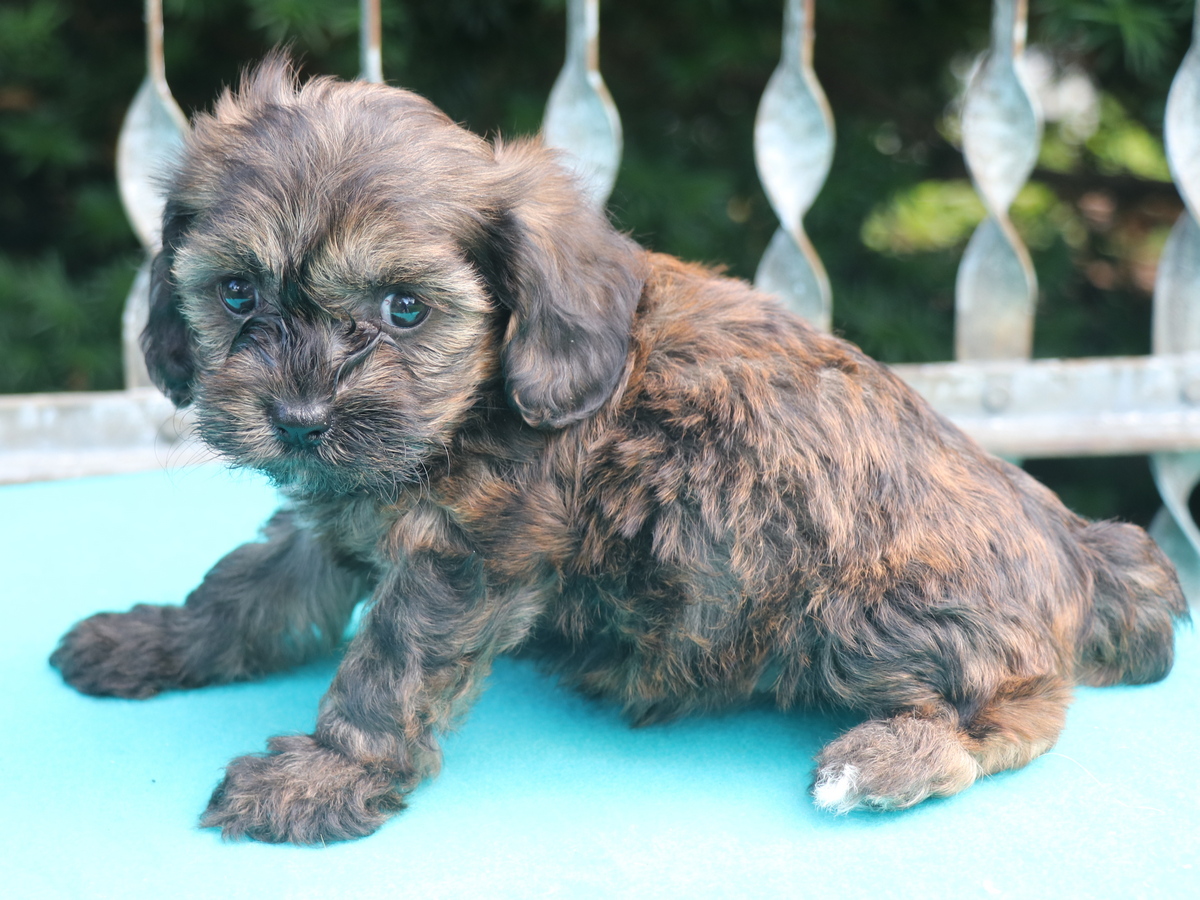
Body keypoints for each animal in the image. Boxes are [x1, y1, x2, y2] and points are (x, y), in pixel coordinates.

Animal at [51, 56, 1188, 844]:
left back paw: (885, 760)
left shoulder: (467, 556)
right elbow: (248, 591)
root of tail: (1079, 549)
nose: (298, 417)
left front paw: (325, 776)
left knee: (1024, 707)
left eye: (405, 308)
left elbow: (388, 672)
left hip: (863, 610)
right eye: (237, 293)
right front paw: (155, 641)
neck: (478, 402)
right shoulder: (340, 516)